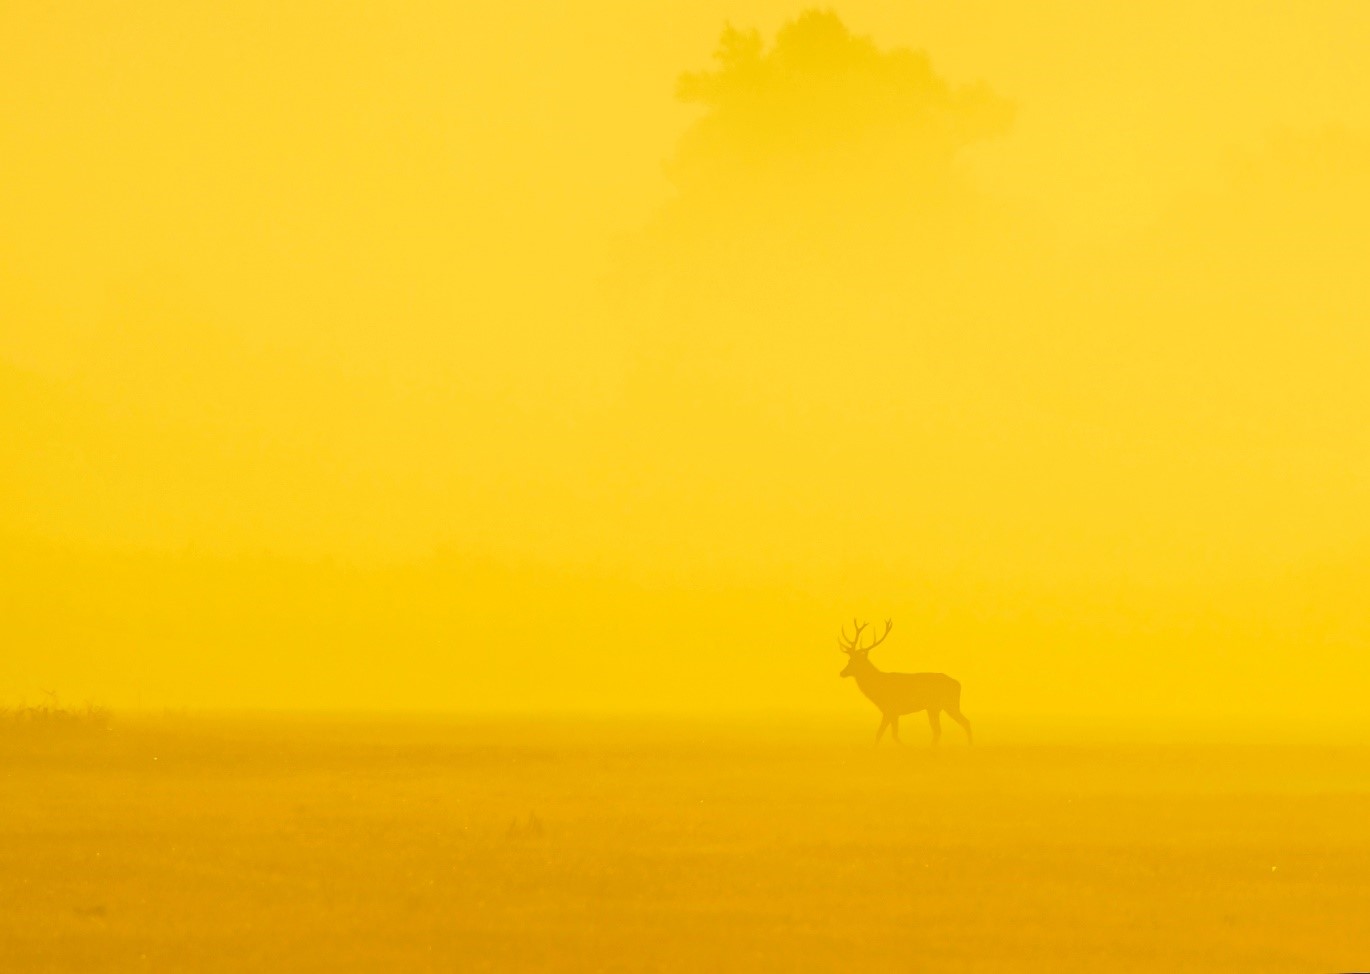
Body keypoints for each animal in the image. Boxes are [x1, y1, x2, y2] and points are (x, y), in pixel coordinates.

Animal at [832, 616, 975, 745]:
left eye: (854, 661)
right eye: (849, 660)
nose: (842, 673)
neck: (878, 687)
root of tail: (958, 684)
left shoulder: (890, 709)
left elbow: (883, 735)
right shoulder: (893, 712)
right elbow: (889, 735)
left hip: (947, 704)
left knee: (959, 724)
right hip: (937, 707)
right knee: (944, 729)